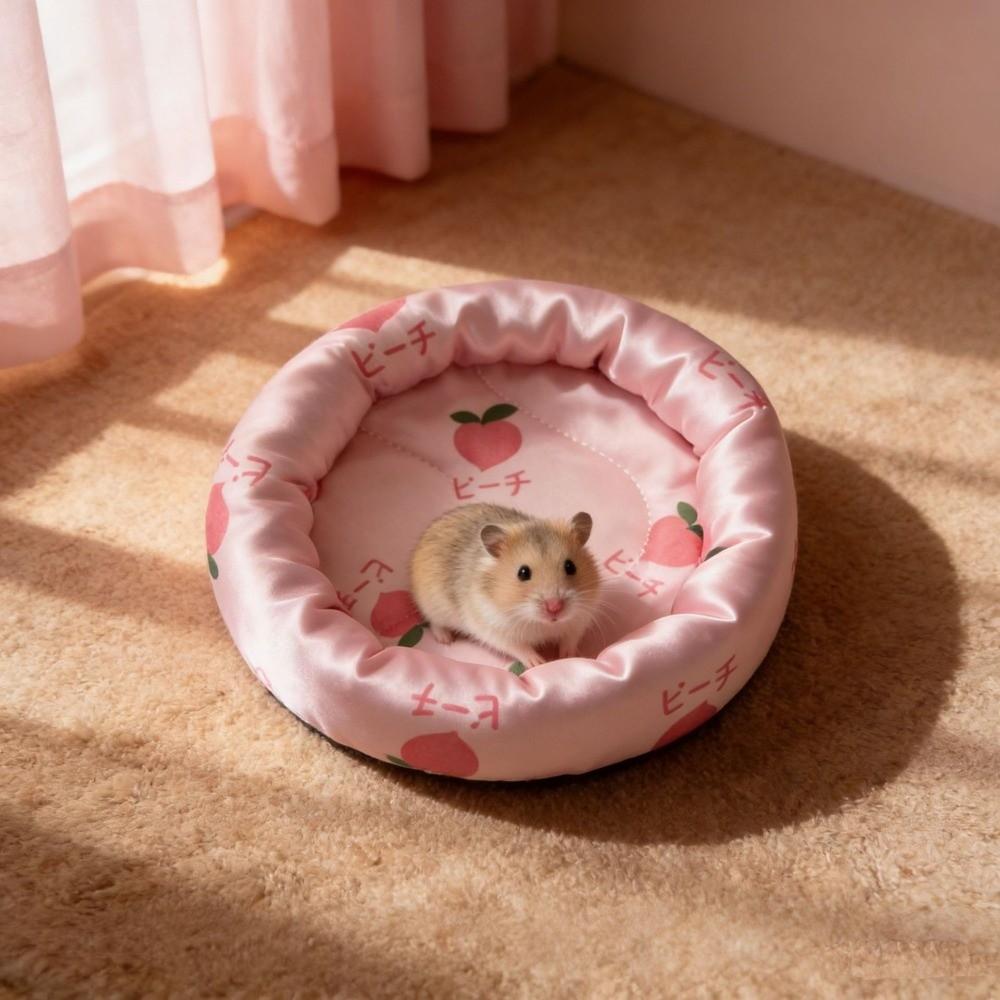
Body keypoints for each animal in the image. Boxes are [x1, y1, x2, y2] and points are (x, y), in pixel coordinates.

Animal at [409, 503, 601, 668]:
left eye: (570, 566)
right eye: (523, 573)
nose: (554, 608)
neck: (543, 623)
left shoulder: (579, 620)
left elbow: (569, 640)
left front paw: (569, 656)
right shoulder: (497, 631)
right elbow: (521, 648)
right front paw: (539, 663)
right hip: (433, 605)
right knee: (435, 623)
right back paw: (446, 640)